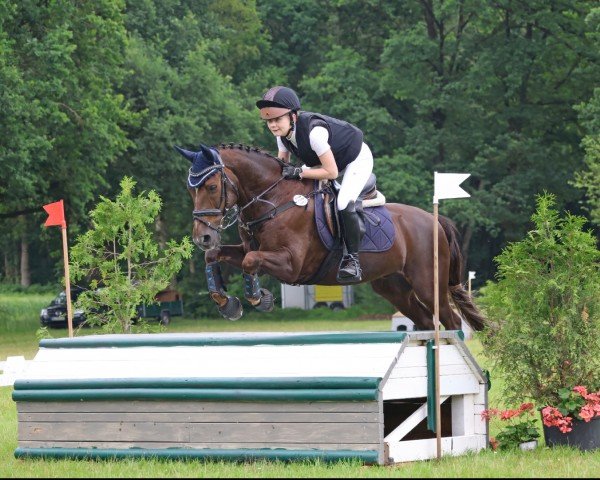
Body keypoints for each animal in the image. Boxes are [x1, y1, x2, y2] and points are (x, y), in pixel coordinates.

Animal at [176, 141, 486, 332]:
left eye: (212, 186)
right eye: (190, 189)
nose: (202, 237)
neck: (274, 200)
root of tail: (434, 220)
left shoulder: (291, 265)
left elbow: (250, 261)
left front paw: (260, 298)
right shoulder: (247, 248)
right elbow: (216, 256)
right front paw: (227, 303)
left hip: (427, 284)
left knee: (451, 321)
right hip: (394, 287)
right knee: (425, 323)